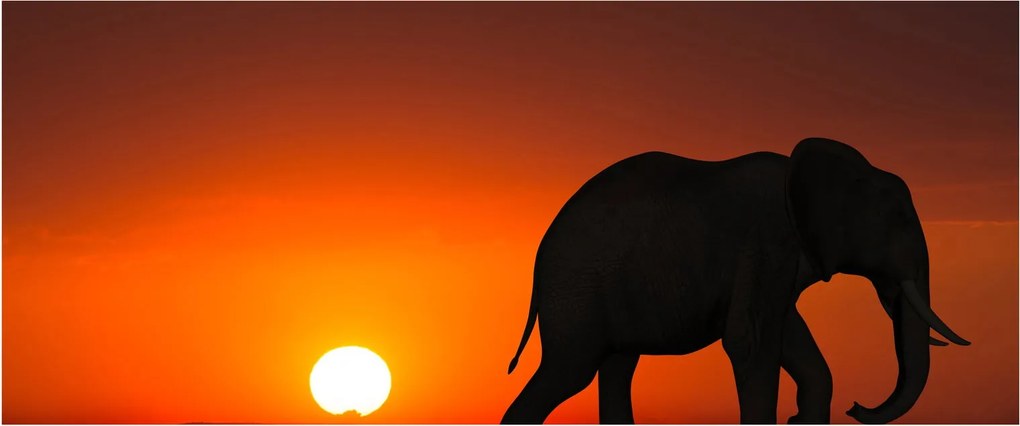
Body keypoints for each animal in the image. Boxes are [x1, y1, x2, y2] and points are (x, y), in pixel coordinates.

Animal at [501, 138, 969, 424]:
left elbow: (791, 340)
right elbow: (751, 342)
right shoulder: (765, 242)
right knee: (569, 371)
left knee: (617, 367)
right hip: (576, 291)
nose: (857, 407)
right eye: (900, 220)